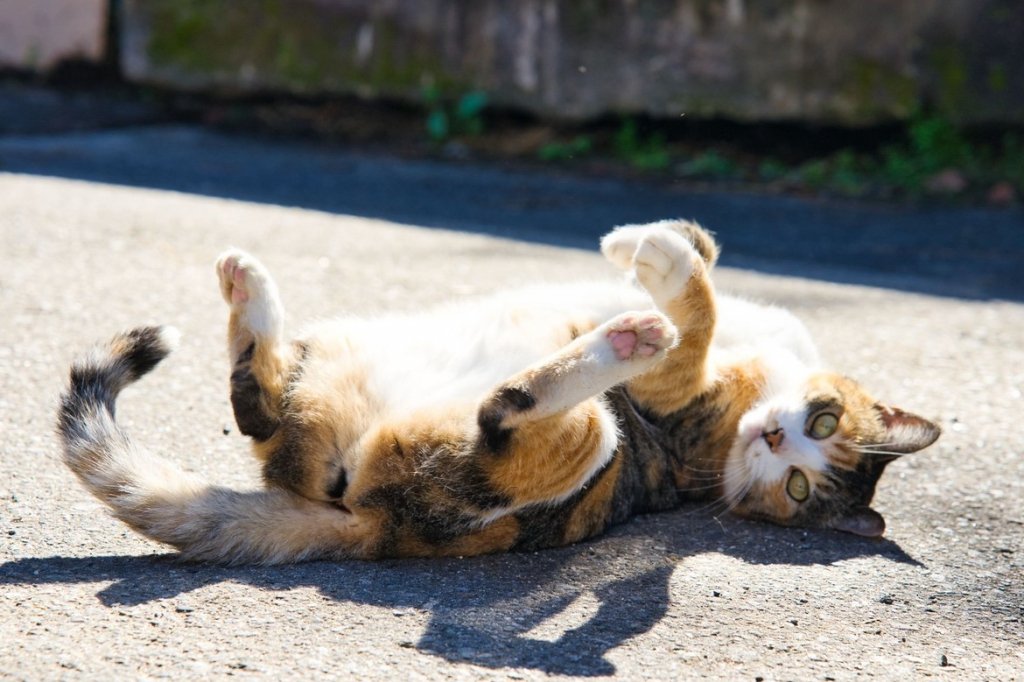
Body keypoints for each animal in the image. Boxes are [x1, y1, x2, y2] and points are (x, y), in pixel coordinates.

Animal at [54, 219, 937, 561]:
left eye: (798, 488)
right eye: (824, 419)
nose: (777, 437)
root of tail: (371, 520)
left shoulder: (676, 404)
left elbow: (698, 318)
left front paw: (662, 277)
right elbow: (708, 267)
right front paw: (647, 244)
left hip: (586, 441)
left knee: (502, 412)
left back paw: (622, 341)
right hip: (344, 351)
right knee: (260, 406)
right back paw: (250, 295)